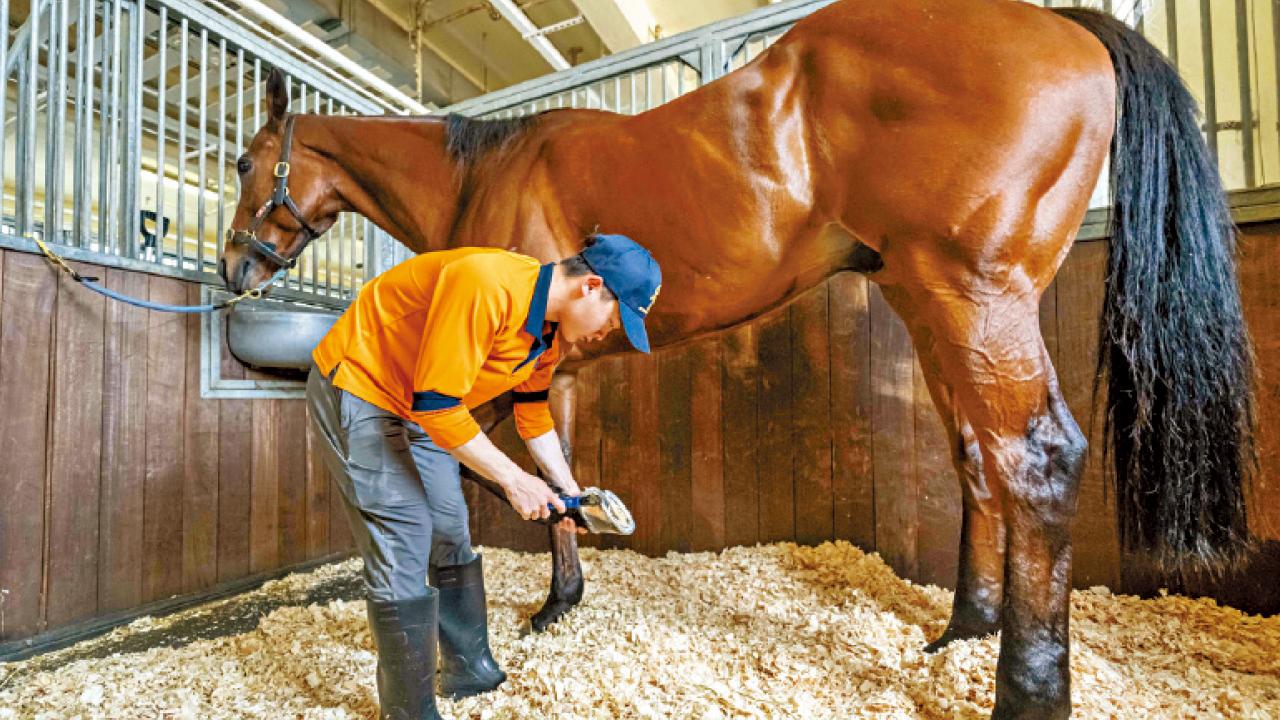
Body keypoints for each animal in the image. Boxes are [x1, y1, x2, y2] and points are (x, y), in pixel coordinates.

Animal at [217, 0, 1256, 716]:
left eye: (242, 162)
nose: (232, 267)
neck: (491, 168)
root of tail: (1064, 25)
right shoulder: (555, 373)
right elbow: (559, 473)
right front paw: (565, 598)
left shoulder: (512, 371)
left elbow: (504, 474)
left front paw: (545, 601)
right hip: (938, 310)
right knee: (978, 460)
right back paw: (964, 629)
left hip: (976, 296)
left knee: (1036, 461)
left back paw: (1025, 689)